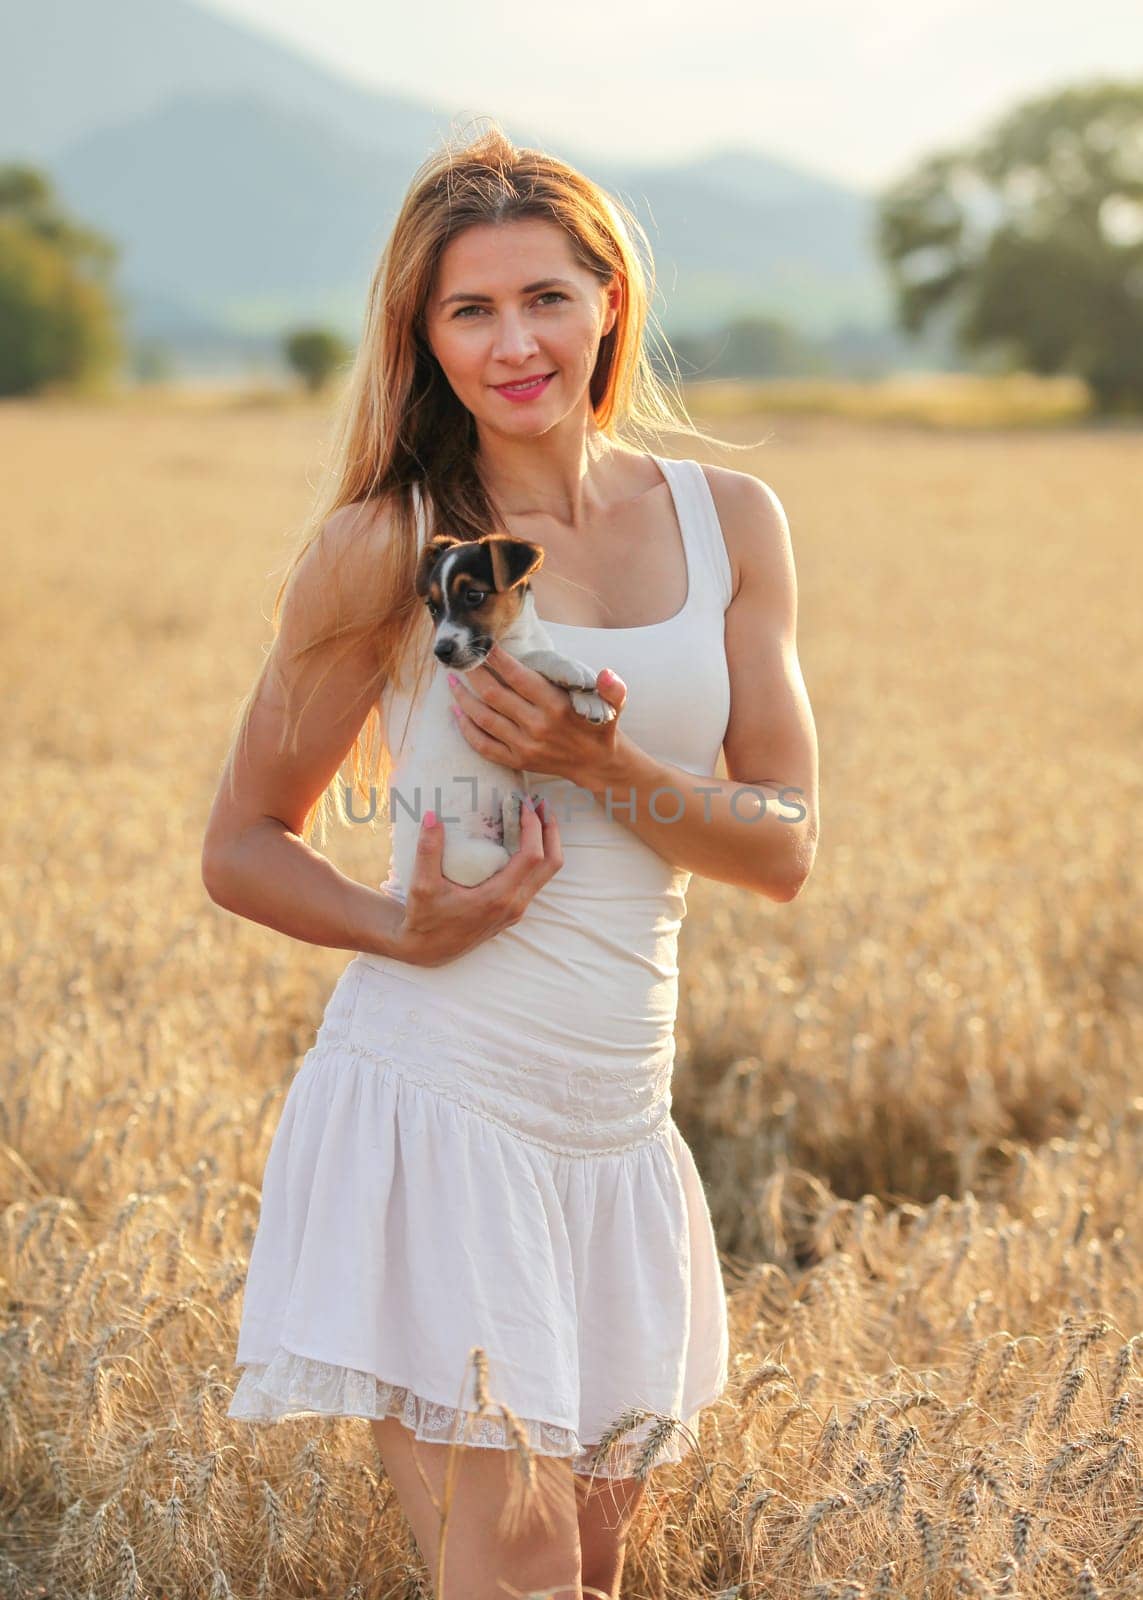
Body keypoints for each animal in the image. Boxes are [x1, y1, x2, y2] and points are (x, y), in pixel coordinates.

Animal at [385, 534, 617, 889]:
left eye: (474, 595)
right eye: (433, 608)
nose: (441, 652)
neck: (516, 637)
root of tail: (410, 879)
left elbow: (545, 659)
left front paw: (591, 699)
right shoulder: (493, 675)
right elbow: (537, 658)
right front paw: (575, 671)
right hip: (476, 859)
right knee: (512, 856)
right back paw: (512, 814)